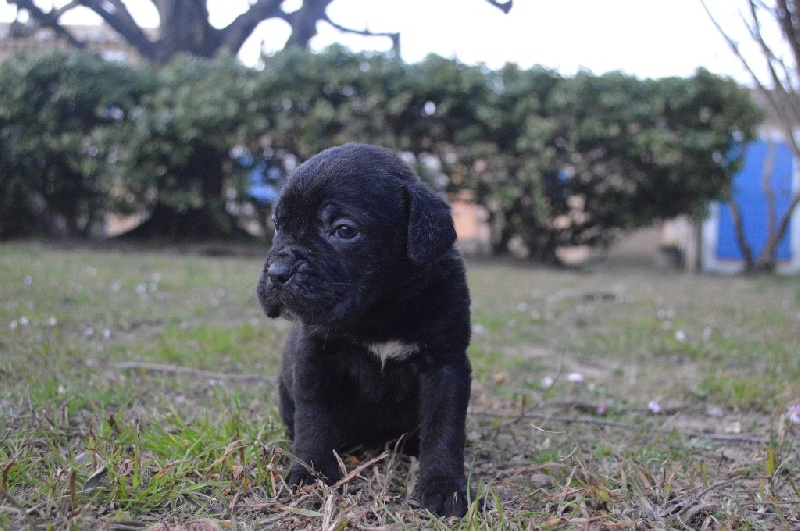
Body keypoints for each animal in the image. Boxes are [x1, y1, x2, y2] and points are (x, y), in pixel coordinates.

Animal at [256, 143, 473, 517]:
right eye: (278, 225)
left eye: (344, 230)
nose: (277, 271)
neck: (380, 309)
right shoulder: (316, 357)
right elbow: (313, 418)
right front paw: (311, 474)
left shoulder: (446, 365)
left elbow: (444, 428)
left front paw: (444, 487)